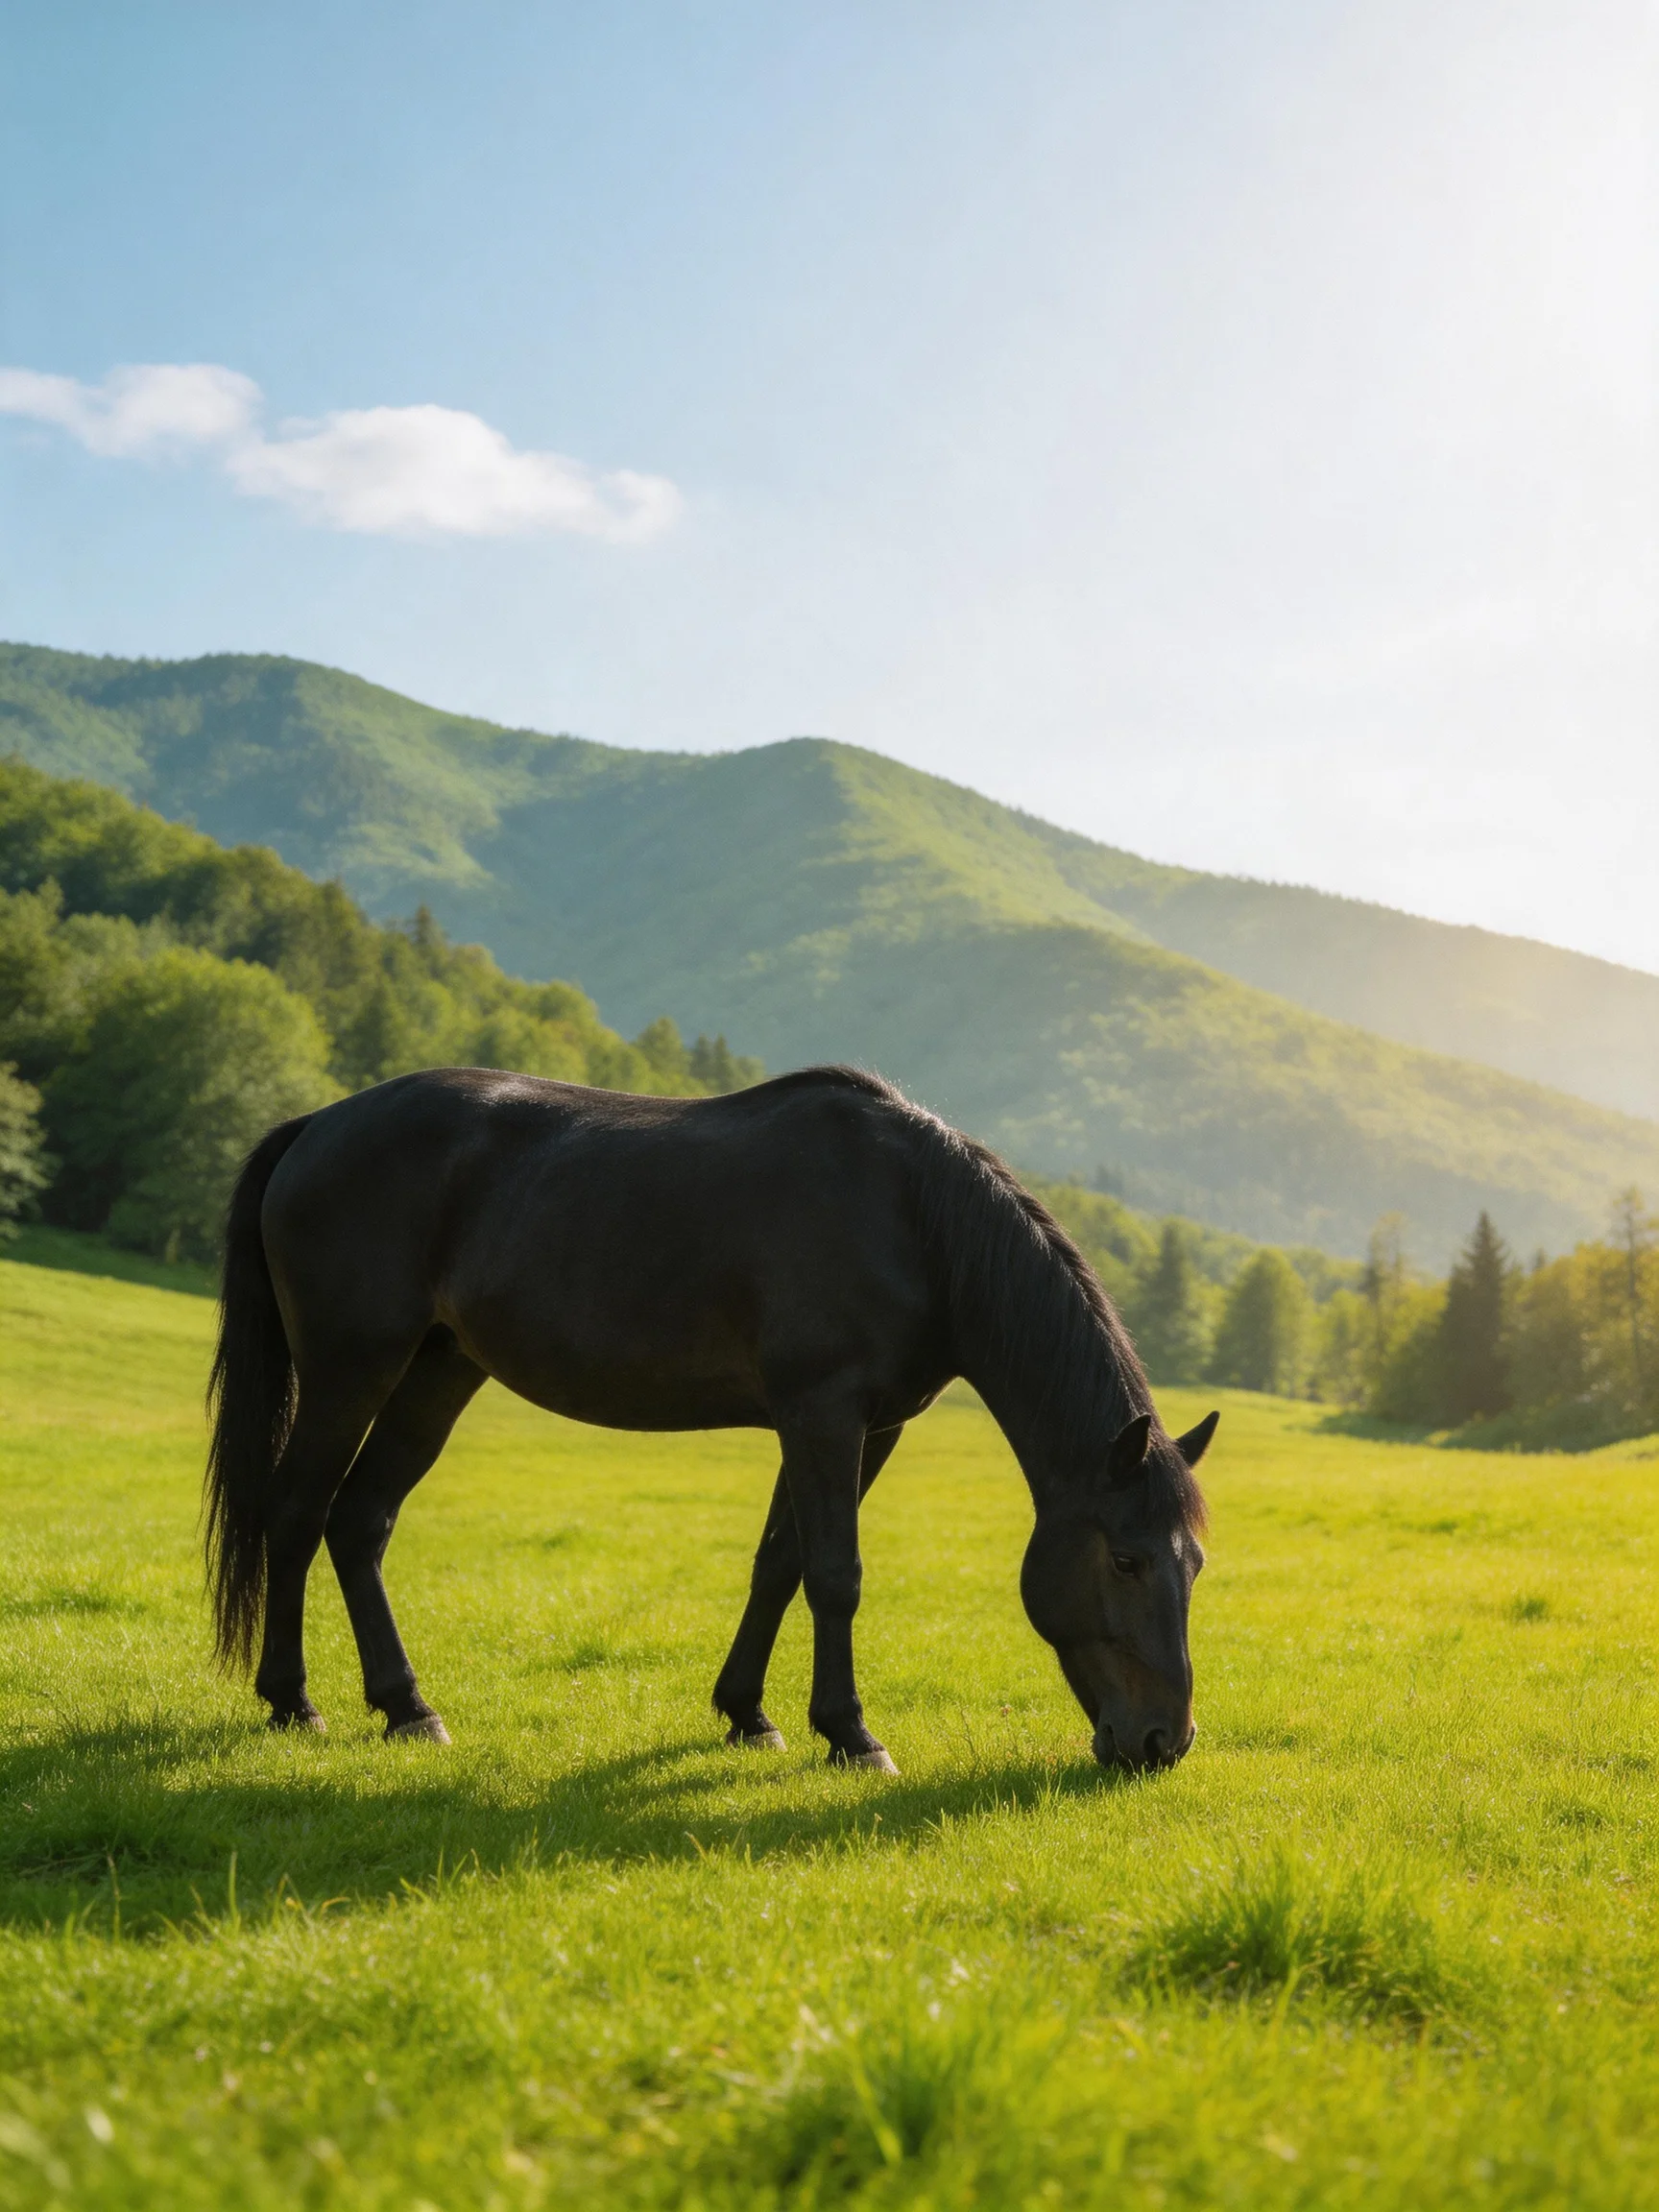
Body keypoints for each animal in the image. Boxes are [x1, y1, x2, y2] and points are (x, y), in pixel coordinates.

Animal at [205, 1064, 1215, 1774]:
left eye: (1194, 1563)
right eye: (1127, 1560)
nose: (1163, 1741)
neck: (914, 1222)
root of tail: (316, 1126)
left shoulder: (862, 1428)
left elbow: (780, 1564)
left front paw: (749, 1715)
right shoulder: (823, 1415)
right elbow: (834, 1575)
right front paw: (853, 1735)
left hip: (437, 1373)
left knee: (360, 1520)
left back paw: (407, 1706)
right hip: (351, 1369)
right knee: (296, 1513)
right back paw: (294, 1701)